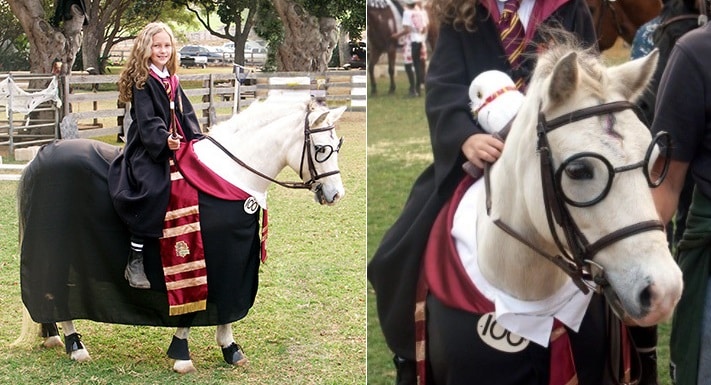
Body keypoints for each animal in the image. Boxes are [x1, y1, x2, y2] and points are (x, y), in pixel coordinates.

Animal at [16, 95, 348, 372]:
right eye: (321, 150)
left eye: (336, 146)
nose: (335, 194)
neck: (229, 175)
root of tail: (41, 156)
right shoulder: (201, 261)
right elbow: (195, 306)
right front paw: (182, 354)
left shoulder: (235, 260)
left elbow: (229, 305)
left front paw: (230, 349)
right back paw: (75, 345)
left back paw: (53, 334)